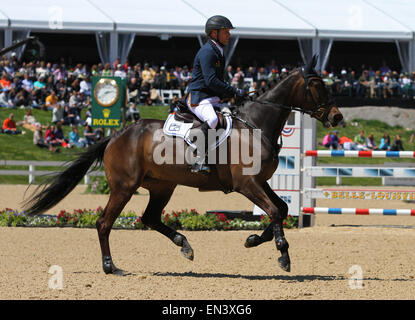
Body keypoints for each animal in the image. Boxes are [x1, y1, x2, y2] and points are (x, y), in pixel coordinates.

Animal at [22, 55, 342, 276]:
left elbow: (283, 209)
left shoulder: (259, 182)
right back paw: (111, 266)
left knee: (149, 218)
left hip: (162, 186)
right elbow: (275, 211)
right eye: (316, 85)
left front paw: (252, 239)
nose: (337, 117)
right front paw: (283, 255)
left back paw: (184, 245)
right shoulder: (247, 184)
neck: (256, 125)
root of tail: (116, 134)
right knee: (104, 223)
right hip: (125, 188)